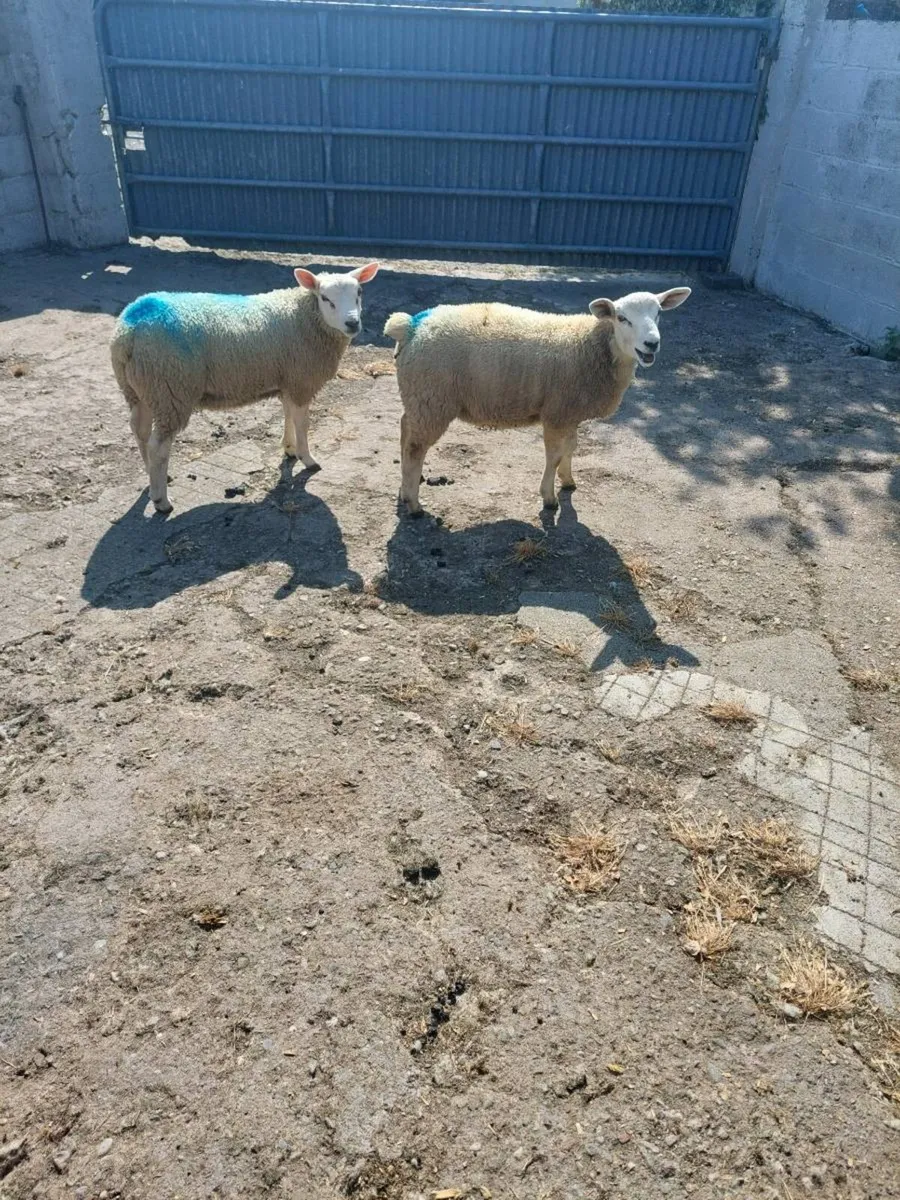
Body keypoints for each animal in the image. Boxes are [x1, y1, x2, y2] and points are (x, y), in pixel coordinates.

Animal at [111, 262, 380, 513]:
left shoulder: (288, 379)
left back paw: (154, 479)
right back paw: (162, 501)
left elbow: (288, 415)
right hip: (170, 389)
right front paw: (308, 458)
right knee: (158, 447)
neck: (305, 316)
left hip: (141, 390)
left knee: (140, 431)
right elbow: (302, 423)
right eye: (325, 298)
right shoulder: (301, 380)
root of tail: (129, 329)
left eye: (359, 292)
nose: (352, 323)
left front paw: (289, 449)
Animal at [383, 287, 690, 515]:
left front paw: (568, 481)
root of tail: (410, 326)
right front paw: (549, 497)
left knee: (404, 431)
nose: (652, 344)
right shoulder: (556, 413)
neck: (591, 346)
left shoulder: (569, 412)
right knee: (415, 449)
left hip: (419, 398)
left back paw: (403, 490)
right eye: (621, 318)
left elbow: (570, 448)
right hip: (432, 399)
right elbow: (553, 456)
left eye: (659, 313)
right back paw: (414, 504)